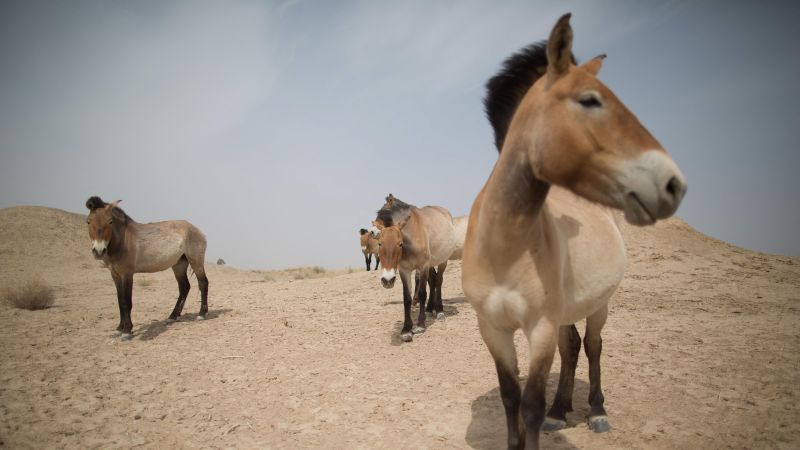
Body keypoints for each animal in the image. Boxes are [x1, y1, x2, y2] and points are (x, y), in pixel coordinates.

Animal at [85, 197, 209, 342]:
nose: (99, 251)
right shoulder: (115, 275)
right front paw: (119, 329)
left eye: (110, 221)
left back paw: (201, 314)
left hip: (196, 261)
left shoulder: (127, 274)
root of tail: (197, 230)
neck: (123, 241)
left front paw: (127, 331)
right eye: (88, 221)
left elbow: (127, 302)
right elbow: (120, 301)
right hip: (178, 265)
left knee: (203, 283)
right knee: (184, 287)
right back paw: (172, 317)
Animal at [370, 194, 454, 342]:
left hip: (442, 261)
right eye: (380, 244)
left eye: (400, 244)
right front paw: (406, 329)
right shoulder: (404, 270)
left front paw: (420, 325)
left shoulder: (423, 266)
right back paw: (429, 308)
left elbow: (421, 293)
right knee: (432, 282)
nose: (387, 280)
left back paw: (439, 310)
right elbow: (407, 298)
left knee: (438, 282)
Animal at [462, 14, 688, 450]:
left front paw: (548, 417)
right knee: (571, 349)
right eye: (590, 100)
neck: (504, 246)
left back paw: (597, 411)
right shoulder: (492, 329)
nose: (673, 184)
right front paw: (537, 421)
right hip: (565, 315)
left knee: (594, 346)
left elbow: (530, 405)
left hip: (598, 306)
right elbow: (510, 397)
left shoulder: (539, 328)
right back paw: (560, 409)